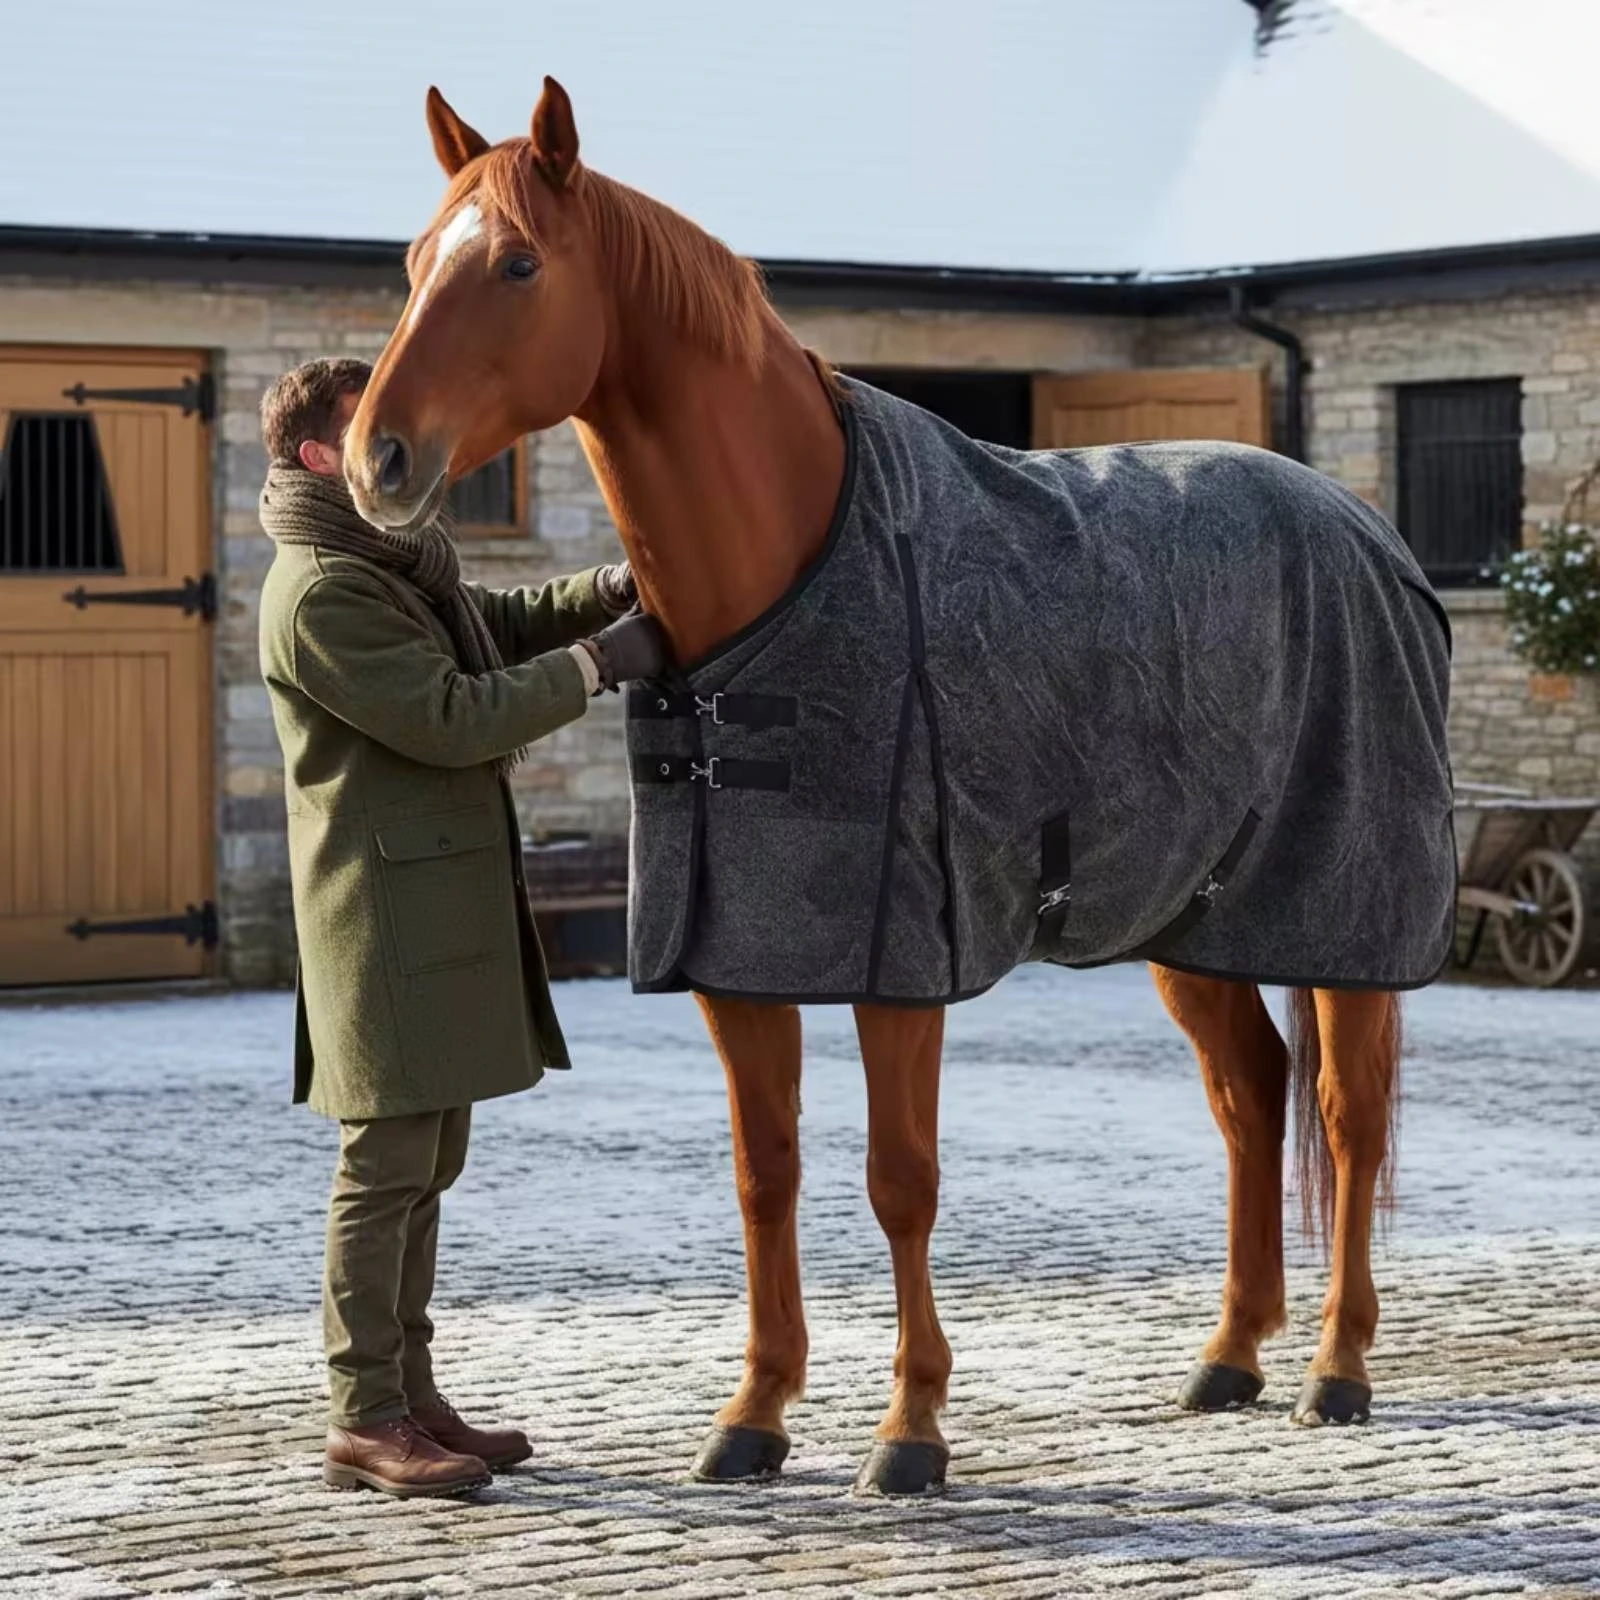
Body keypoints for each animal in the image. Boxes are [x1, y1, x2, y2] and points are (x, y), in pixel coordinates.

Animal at [344, 78, 1454, 1496]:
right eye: (414, 263)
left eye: (520, 265)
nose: (378, 459)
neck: (789, 570)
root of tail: (1370, 538)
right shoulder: (736, 962)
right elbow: (766, 1174)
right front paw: (753, 1414)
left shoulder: (898, 959)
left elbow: (899, 1179)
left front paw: (910, 1429)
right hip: (1186, 920)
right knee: (1248, 1095)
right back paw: (1230, 1356)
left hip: (1338, 918)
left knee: (1346, 1115)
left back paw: (1335, 1367)